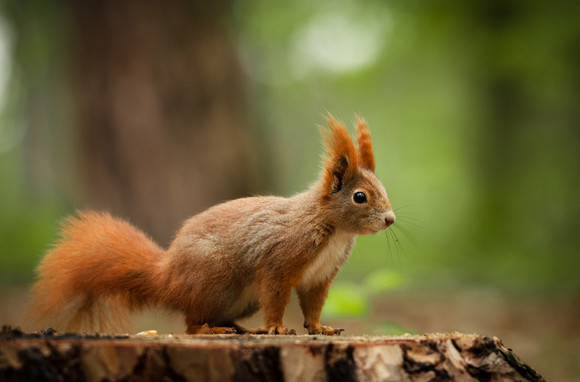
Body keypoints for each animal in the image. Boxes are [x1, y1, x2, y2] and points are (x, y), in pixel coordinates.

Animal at [30, 115, 394, 336]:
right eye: (360, 197)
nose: (390, 220)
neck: (332, 228)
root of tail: (167, 278)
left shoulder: (319, 277)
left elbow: (313, 305)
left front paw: (320, 328)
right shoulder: (278, 263)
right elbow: (277, 296)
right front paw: (276, 328)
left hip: (240, 298)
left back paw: (243, 330)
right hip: (215, 279)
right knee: (191, 324)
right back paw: (212, 331)